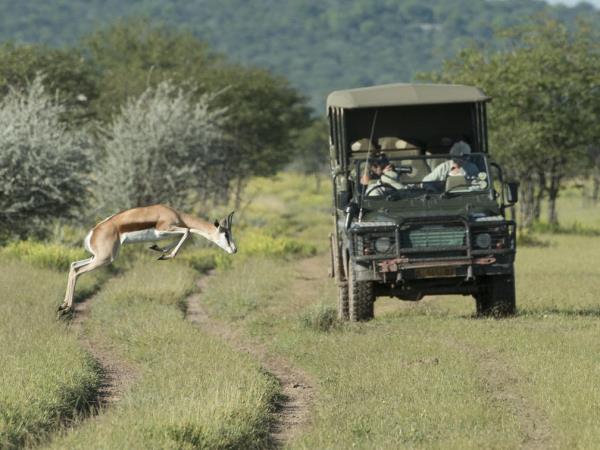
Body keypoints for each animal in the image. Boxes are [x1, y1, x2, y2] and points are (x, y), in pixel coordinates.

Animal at [58, 205, 237, 316]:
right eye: (226, 234)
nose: (234, 250)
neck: (174, 213)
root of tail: (93, 232)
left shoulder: (168, 232)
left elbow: (185, 233)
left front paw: (159, 250)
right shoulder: (165, 228)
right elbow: (187, 231)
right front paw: (166, 255)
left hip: (96, 257)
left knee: (74, 266)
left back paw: (63, 306)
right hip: (105, 258)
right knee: (78, 271)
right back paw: (66, 308)